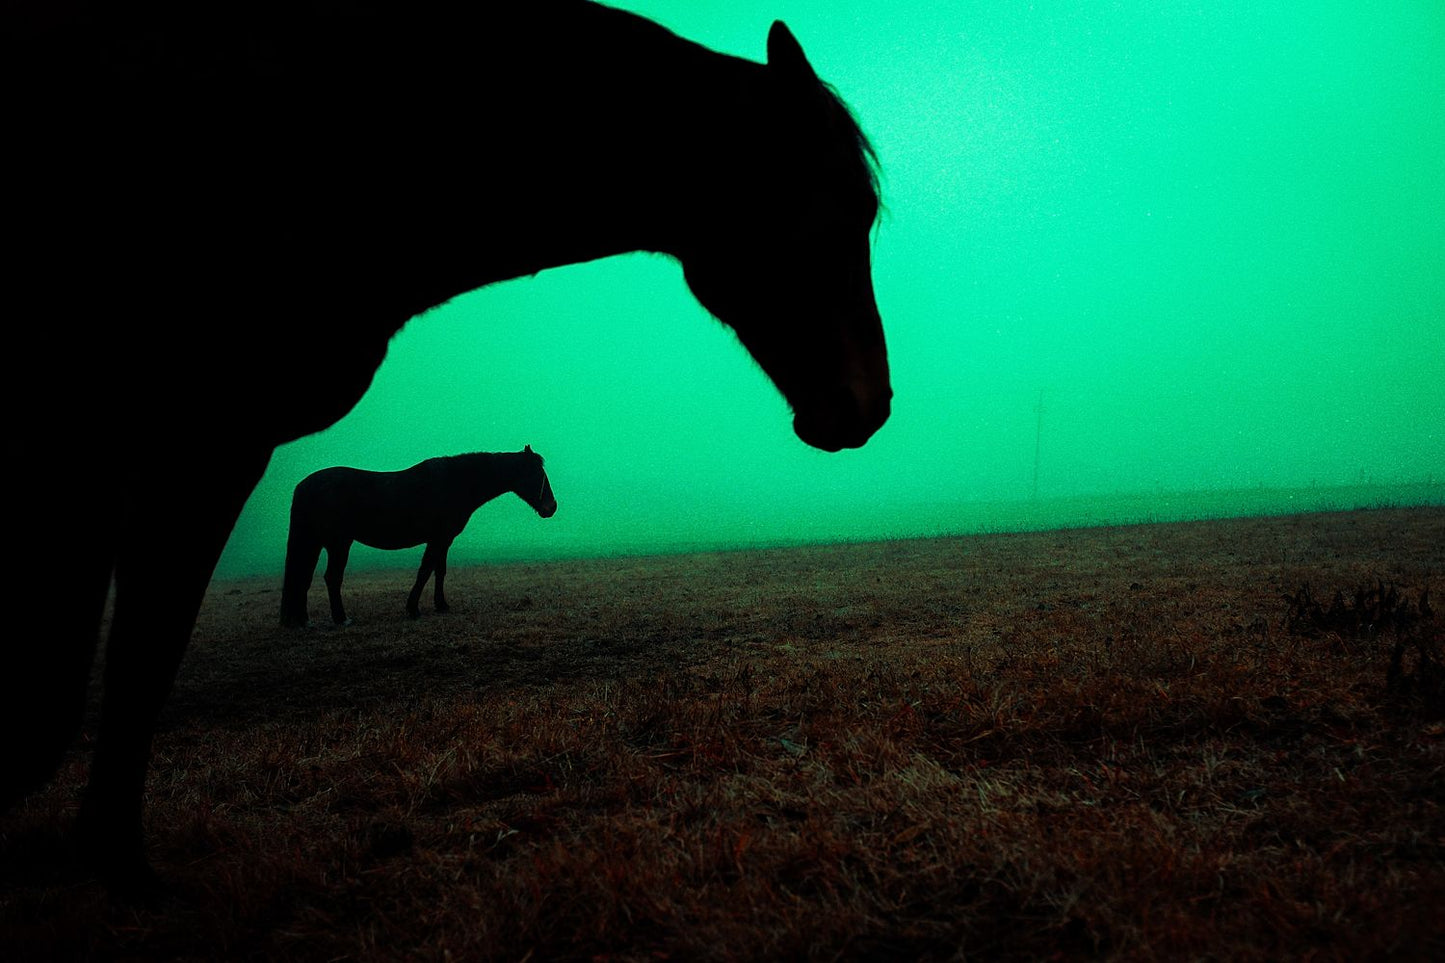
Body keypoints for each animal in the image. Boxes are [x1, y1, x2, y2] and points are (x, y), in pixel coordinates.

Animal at [280, 447, 557, 626]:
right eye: (537, 474)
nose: (551, 507)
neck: (456, 482)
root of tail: (304, 486)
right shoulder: (437, 539)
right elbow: (425, 571)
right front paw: (413, 608)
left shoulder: (444, 540)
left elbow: (439, 571)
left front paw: (441, 605)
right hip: (338, 543)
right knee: (331, 577)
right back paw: (341, 619)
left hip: (315, 542)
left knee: (303, 576)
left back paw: (303, 620)